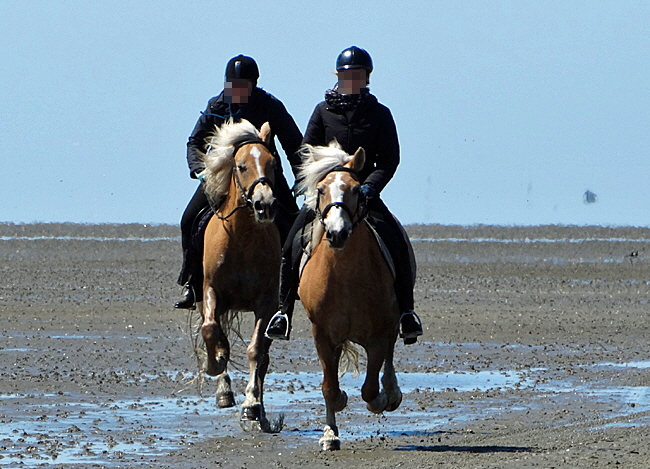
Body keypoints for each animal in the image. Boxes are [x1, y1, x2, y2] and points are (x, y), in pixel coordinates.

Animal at [196, 118, 280, 432]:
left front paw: (252, 406)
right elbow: (210, 330)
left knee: (263, 357)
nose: (264, 204)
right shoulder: (210, 291)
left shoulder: (267, 302)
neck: (242, 238)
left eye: (272, 163)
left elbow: (256, 351)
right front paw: (215, 363)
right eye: (241, 166)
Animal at [292, 142, 400, 450]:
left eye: (356, 189)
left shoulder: (378, 334)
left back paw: (392, 392)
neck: (344, 275)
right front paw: (330, 432)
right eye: (320, 190)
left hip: (392, 322)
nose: (337, 233)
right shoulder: (323, 334)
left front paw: (382, 399)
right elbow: (329, 386)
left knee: (390, 355)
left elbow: (370, 389)